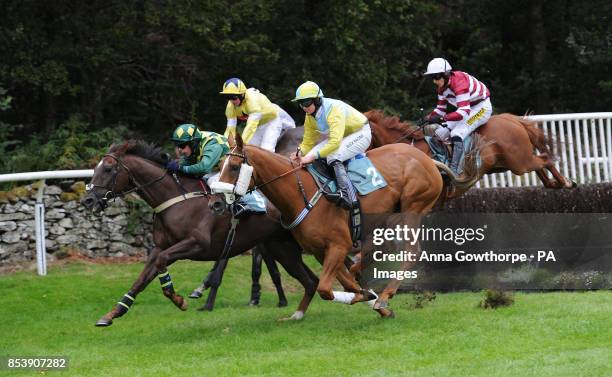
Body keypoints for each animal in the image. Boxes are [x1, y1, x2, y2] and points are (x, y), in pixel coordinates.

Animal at [81, 140, 320, 324]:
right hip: (282, 248)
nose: (88, 200)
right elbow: (141, 279)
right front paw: (113, 313)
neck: (176, 199)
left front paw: (178, 299)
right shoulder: (160, 246)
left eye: (108, 169)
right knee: (311, 280)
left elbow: (162, 262)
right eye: (96, 168)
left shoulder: (197, 244)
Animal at [210, 135, 482, 318]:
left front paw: (370, 298)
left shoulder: (338, 246)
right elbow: (345, 283)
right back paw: (368, 281)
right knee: (379, 248)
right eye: (219, 166)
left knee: (411, 252)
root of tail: (428, 160)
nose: (215, 203)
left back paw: (384, 296)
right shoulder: (321, 252)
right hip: (390, 215)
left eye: (234, 167)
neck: (301, 193)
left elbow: (325, 289)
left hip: (412, 207)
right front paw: (366, 294)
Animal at [366, 108, 576, 197]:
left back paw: (566, 182)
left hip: (519, 162)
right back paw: (556, 183)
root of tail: (512, 119)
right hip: (514, 161)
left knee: (545, 159)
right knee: (540, 167)